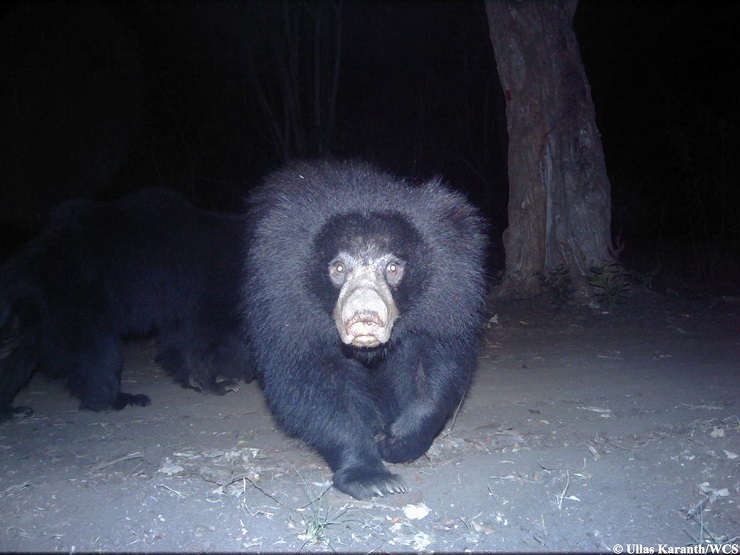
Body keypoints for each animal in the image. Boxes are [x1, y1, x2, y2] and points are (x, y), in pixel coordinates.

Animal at [0, 188, 254, 422]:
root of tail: (20, 267)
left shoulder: (178, 305)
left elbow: (178, 340)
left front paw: (193, 378)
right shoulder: (207, 288)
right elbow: (208, 337)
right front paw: (220, 383)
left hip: (44, 315)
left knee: (20, 357)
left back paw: (12, 409)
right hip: (77, 302)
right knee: (98, 352)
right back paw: (118, 399)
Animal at [243, 160, 486, 500]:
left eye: (393, 268)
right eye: (338, 268)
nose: (364, 317)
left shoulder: (445, 296)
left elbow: (432, 367)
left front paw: (394, 442)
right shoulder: (286, 308)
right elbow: (314, 384)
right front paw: (372, 478)